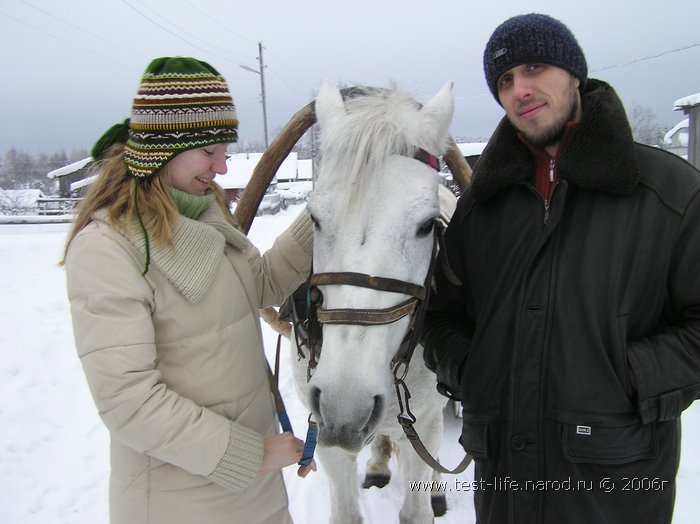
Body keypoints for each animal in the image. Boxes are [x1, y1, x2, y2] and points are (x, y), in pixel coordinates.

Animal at [290, 81, 460, 524]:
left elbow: (417, 507)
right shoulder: (325, 432)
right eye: (314, 218)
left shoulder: (426, 423)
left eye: (427, 226)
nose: (345, 406)